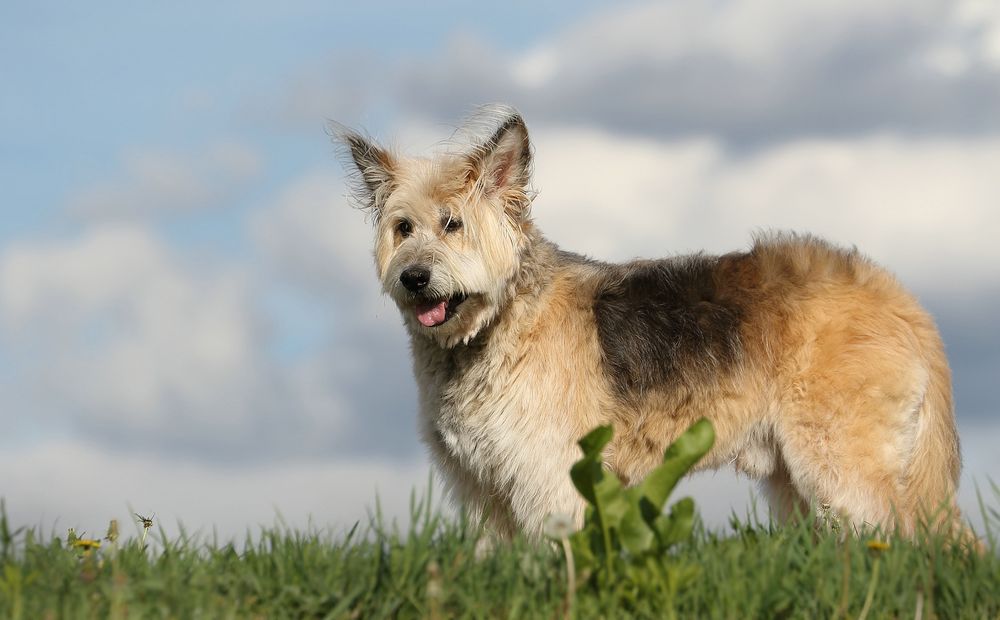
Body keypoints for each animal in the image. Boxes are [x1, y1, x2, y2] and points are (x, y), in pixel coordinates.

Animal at [336, 105, 960, 536]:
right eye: (403, 228)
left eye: (453, 223)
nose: (414, 278)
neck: (501, 317)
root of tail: (896, 296)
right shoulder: (484, 491)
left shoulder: (550, 479)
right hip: (799, 481)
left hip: (842, 467)